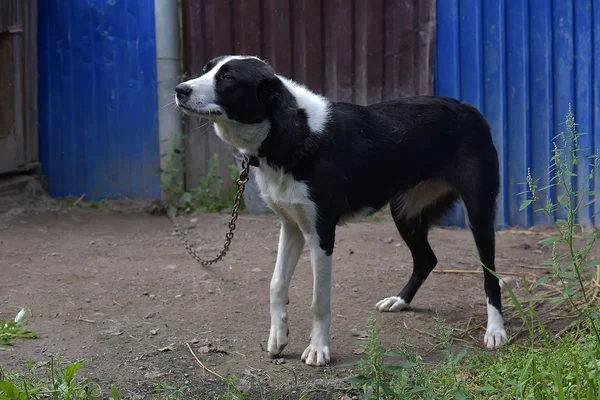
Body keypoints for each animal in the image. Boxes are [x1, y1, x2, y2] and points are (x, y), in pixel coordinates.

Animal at [173, 55, 506, 366]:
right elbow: (276, 285)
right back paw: (400, 300)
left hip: (478, 213)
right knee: (427, 259)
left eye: (228, 78)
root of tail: (471, 110)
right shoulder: (291, 226)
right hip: (404, 211)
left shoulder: (321, 233)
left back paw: (495, 330)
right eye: (206, 70)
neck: (292, 132)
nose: (179, 90)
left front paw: (318, 349)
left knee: (490, 274)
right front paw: (278, 336)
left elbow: (319, 301)